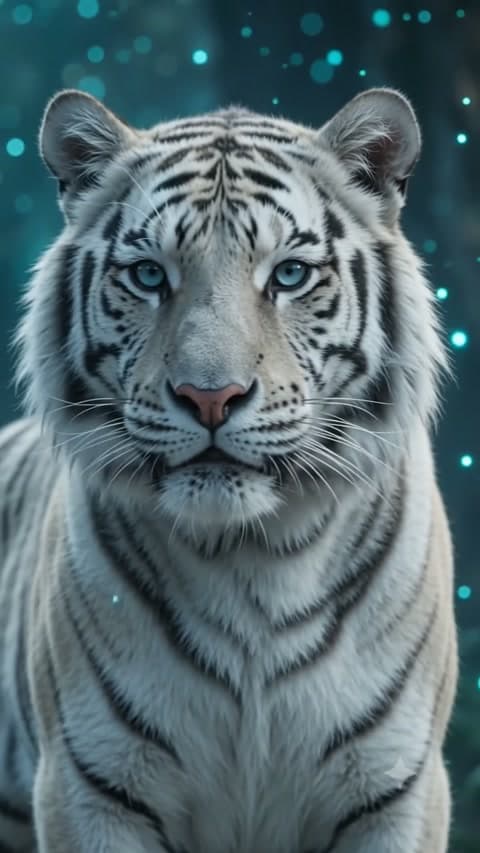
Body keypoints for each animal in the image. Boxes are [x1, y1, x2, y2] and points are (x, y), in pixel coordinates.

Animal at [0, 85, 457, 853]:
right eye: (149, 275)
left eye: (290, 275)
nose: (209, 396)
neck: (254, 562)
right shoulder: (88, 788)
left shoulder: (398, 788)